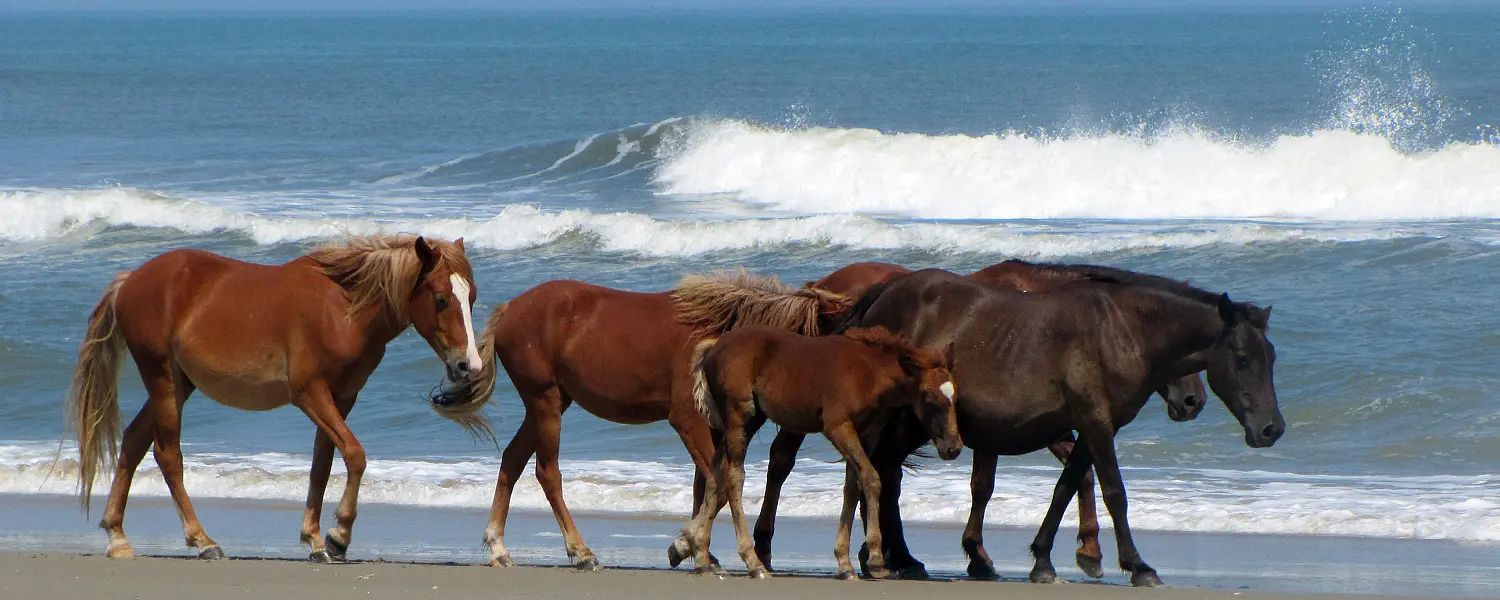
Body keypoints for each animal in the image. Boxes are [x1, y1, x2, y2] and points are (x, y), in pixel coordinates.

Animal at [66, 235, 486, 564]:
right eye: (441, 299)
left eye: (471, 298)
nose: (469, 365)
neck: (342, 309)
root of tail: (131, 280)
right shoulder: (310, 393)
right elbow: (354, 454)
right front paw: (339, 536)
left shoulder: (342, 397)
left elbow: (322, 465)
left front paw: (315, 539)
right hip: (163, 380)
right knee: (167, 455)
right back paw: (202, 541)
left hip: (178, 385)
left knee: (134, 442)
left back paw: (117, 537)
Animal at [438, 268, 852, 573]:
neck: (721, 331)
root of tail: (510, 308)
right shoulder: (687, 420)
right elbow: (718, 484)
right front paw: (691, 549)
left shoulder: (711, 427)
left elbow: (705, 486)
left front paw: (697, 550)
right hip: (545, 403)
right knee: (547, 472)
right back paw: (581, 552)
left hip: (549, 404)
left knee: (512, 460)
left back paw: (498, 548)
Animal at [687, 325, 966, 579]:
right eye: (929, 397)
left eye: (956, 396)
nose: (953, 448)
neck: (870, 374)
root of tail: (715, 346)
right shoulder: (837, 426)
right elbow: (872, 478)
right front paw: (876, 560)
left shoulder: (868, 432)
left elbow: (854, 485)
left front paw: (845, 563)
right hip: (739, 415)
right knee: (734, 477)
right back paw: (752, 562)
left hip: (752, 418)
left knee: (715, 473)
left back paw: (701, 557)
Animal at [756, 259, 1212, 579]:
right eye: (1174, 344)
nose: (1193, 401)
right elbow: (987, 486)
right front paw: (980, 555)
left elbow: (1074, 474)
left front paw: (1087, 551)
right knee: (785, 460)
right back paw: (770, 546)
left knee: (878, 471)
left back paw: (890, 555)